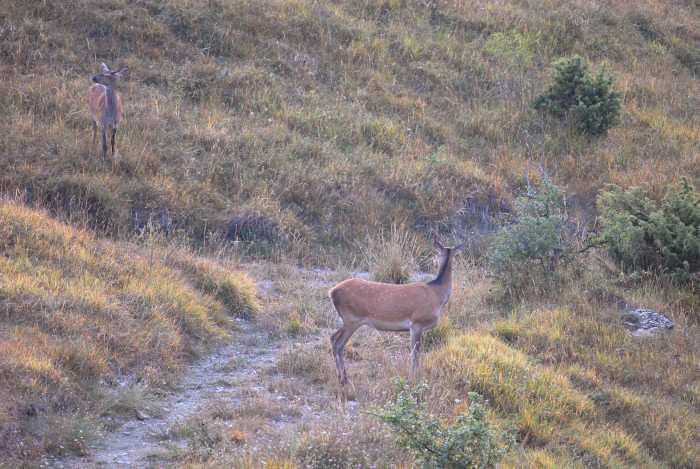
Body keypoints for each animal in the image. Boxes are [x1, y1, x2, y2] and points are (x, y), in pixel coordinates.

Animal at [328, 238, 464, 384]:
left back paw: (339, 376)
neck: (437, 296)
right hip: (352, 318)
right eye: (437, 253)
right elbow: (415, 353)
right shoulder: (417, 323)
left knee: (333, 338)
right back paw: (344, 379)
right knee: (339, 343)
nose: (433, 259)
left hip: (348, 319)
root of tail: (332, 292)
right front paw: (413, 377)